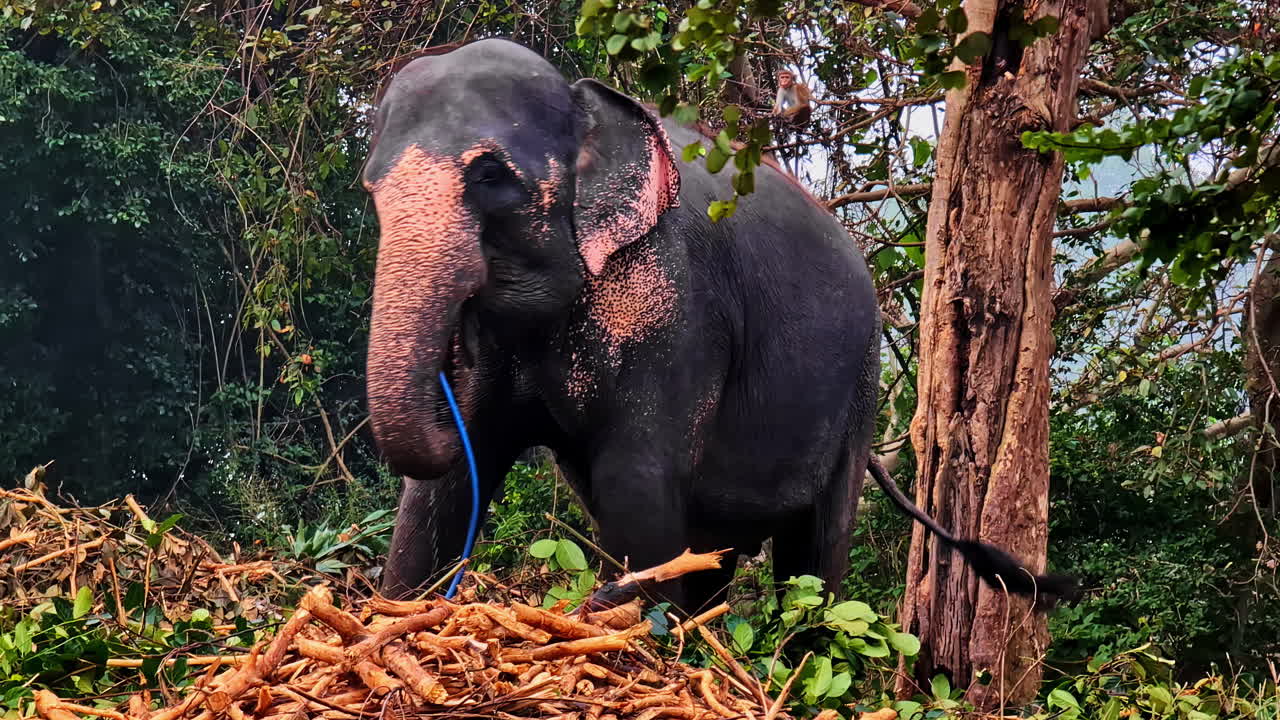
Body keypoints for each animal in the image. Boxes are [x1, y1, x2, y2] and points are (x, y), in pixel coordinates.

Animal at [361, 38, 1076, 612]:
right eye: (371, 188)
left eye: (490, 176)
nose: (447, 363)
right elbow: (449, 484)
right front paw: (395, 612)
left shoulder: (677, 303)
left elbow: (637, 479)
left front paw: (634, 628)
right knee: (717, 555)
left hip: (858, 393)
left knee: (815, 557)